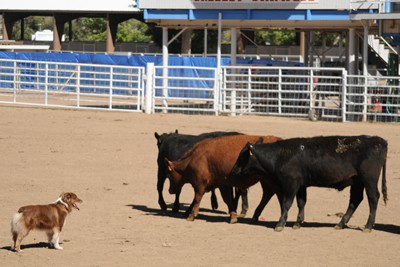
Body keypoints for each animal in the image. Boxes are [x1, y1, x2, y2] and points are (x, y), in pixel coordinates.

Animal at [231, 136, 388, 232]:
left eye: (242, 155)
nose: (233, 170)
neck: (281, 155)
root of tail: (378, 141)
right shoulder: (301, 185)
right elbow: (301, 202)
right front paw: (297, 223)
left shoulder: (291, 183)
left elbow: (287, 203)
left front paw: (280, 224)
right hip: (357, 182)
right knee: (355, 200)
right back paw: (340, 224)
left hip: (369, 180)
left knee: (373, 198)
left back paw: (368, 226)